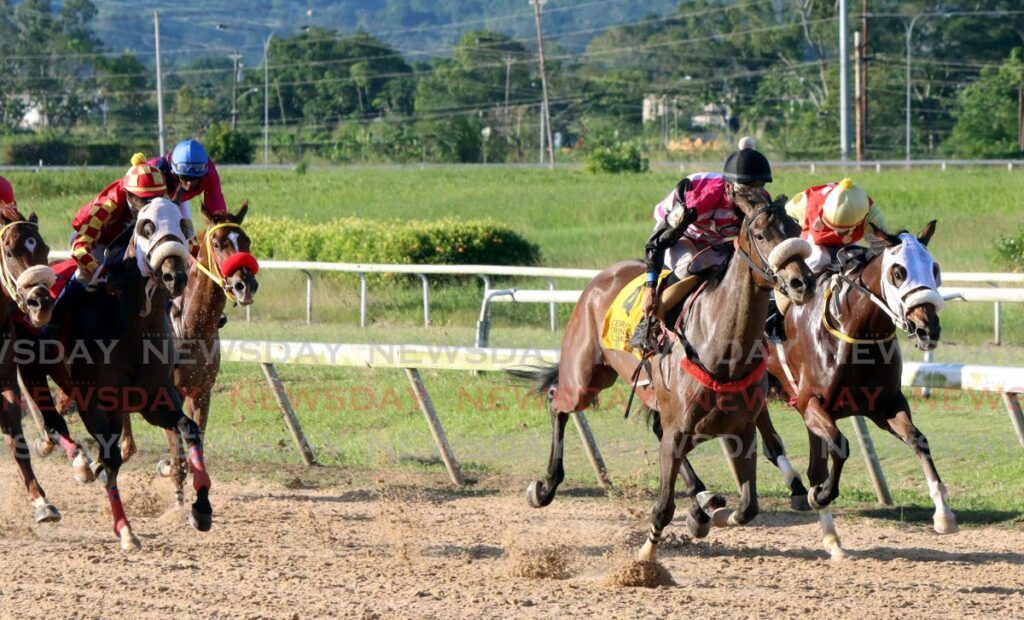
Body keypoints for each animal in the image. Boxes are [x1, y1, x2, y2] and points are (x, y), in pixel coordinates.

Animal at [520, 188, 815, 561]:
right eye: (761, 234)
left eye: (796, 229)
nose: (801, 283)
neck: (721, 349)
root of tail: (601, 278)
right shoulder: (682, 426)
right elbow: (662, 507)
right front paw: (645, 556)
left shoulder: (742, 430)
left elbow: (748, 506)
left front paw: (713, 513)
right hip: (586, 376)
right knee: (558, 401)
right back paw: (545, 486)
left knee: (656, 430)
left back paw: (703, 503)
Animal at [757, 223, 946, 561]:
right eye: (898, 272)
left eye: (934, 269)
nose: (929, 329)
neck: (856, 332)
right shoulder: (810, 403)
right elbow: (840, 446)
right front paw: (821, 495)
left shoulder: (885, 406)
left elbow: (918, 440)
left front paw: (943, 513)